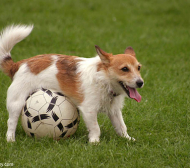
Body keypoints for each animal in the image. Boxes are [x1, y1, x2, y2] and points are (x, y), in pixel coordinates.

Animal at [0, 25, 143, 142]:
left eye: (139, 68)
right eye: (125, 69)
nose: (140, 83)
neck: (103, 79)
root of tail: (18, 65)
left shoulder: (114, 111)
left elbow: (121, 126)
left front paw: (127, 139)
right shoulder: (89, 110)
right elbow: (96, 128)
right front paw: (94, 142)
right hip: (16, 103)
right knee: (11, 122)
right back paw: (10, 139)